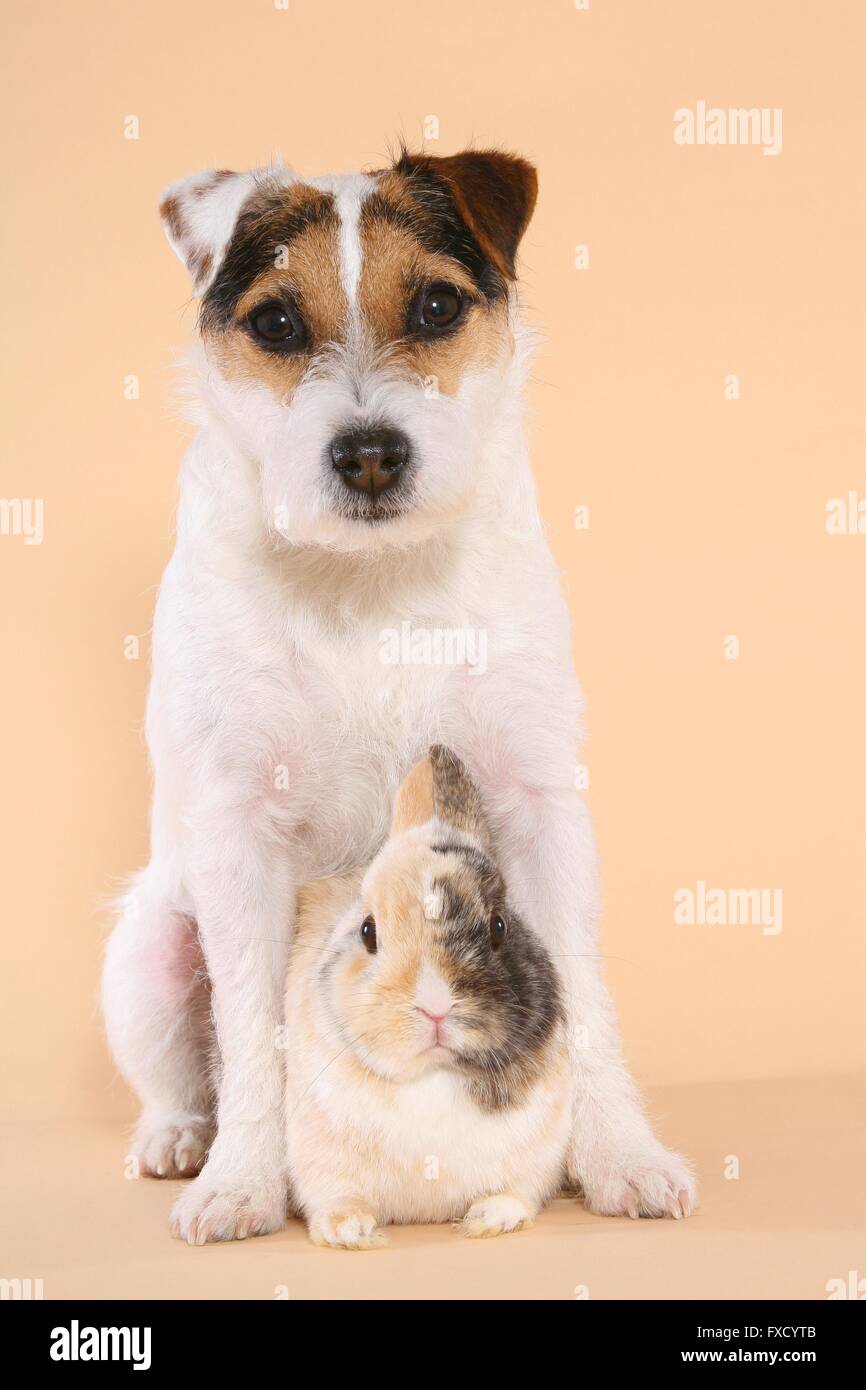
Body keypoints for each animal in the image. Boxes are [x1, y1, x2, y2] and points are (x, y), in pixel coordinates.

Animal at [284, 745, 572, 1249]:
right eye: (368, 931)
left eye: (498, 926)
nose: (435, 1006)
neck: (434, 1076)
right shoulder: (318, 1162)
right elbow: (336, 1197)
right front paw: (351, 1231)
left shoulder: (539, 1156)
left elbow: (517, 1192)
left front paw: (489, 1219)